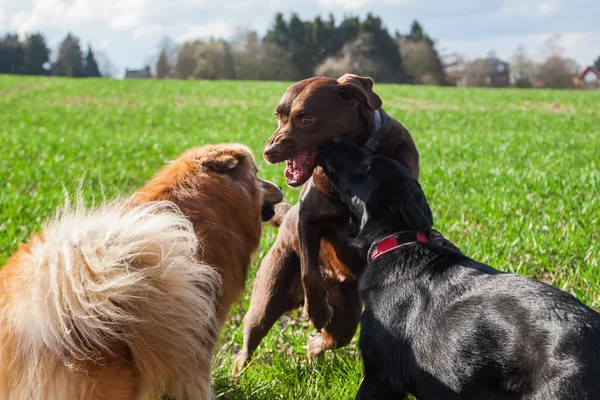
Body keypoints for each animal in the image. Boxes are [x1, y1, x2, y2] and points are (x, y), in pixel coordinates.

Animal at [234, 73, 436, 374]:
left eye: (306, 118)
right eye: (279, 116)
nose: (269, 150)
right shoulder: (307, 218)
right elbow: (309, 270)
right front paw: (317, 310)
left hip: (347, 313)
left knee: (332, 337)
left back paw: (312, 346)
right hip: (266, 298)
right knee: (249, 342)